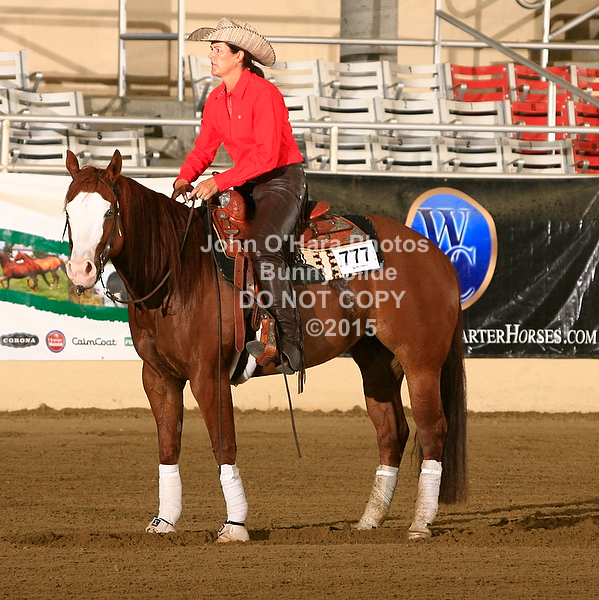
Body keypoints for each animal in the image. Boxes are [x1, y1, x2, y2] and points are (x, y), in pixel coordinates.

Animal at [64, 149, 467, 542]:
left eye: (109, 211)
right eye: (68, 211)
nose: (80, 271)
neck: (179, 271)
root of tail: (436, 255)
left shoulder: (208, 375)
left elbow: (223, 444)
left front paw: (235, 525)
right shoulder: (158, 377)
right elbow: (168, 446)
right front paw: (164, 521)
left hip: (421, 362)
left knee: (432, 429)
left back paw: (420, 523)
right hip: (377, 363)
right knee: (392, 431)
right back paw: (370, 519)